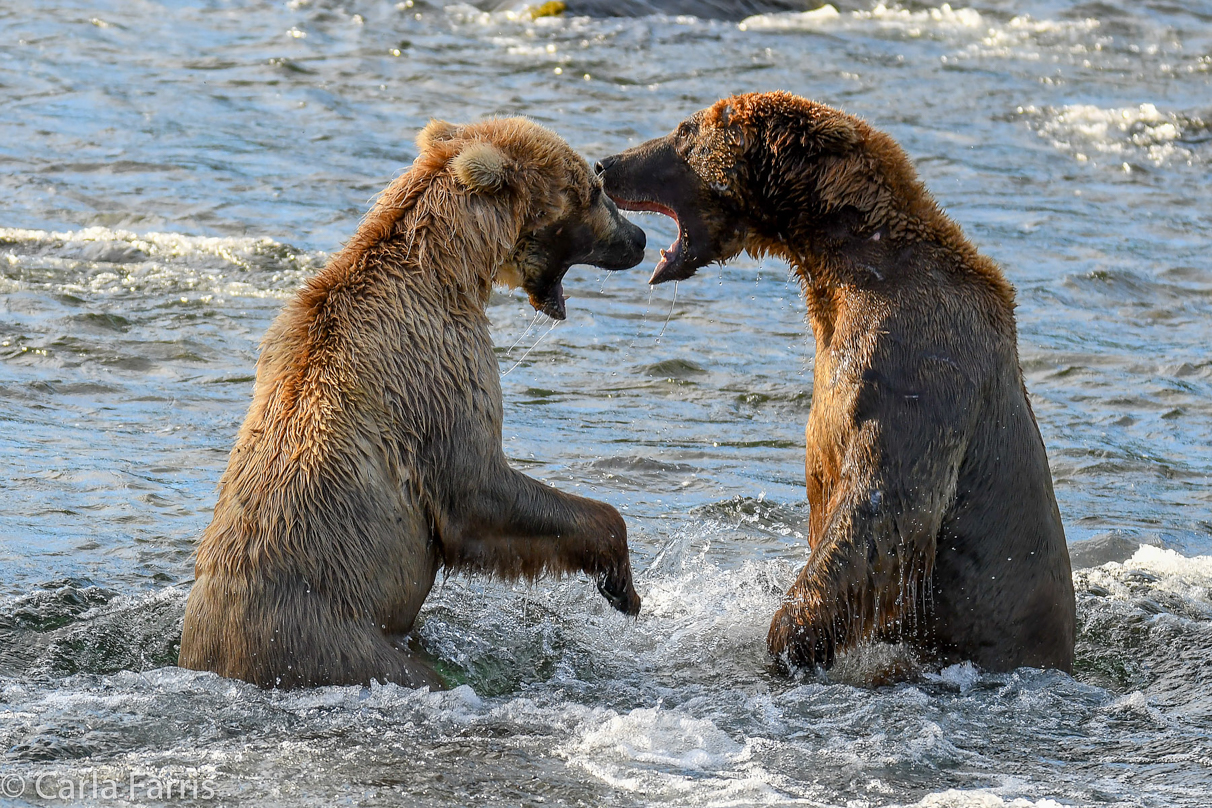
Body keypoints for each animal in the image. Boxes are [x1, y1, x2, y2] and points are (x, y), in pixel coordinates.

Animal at [178, 116, 644, 692]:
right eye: (595, 190)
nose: (639, 239)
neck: (452, 270)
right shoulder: (437, 371)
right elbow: (479, 489)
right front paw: (621, 581)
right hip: (344, 649)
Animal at [601, 91, 1076, 678]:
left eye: (685, 130)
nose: (605, 164)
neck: (845, 267)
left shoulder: (911, 362)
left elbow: (883, 506)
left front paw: (790, 635)